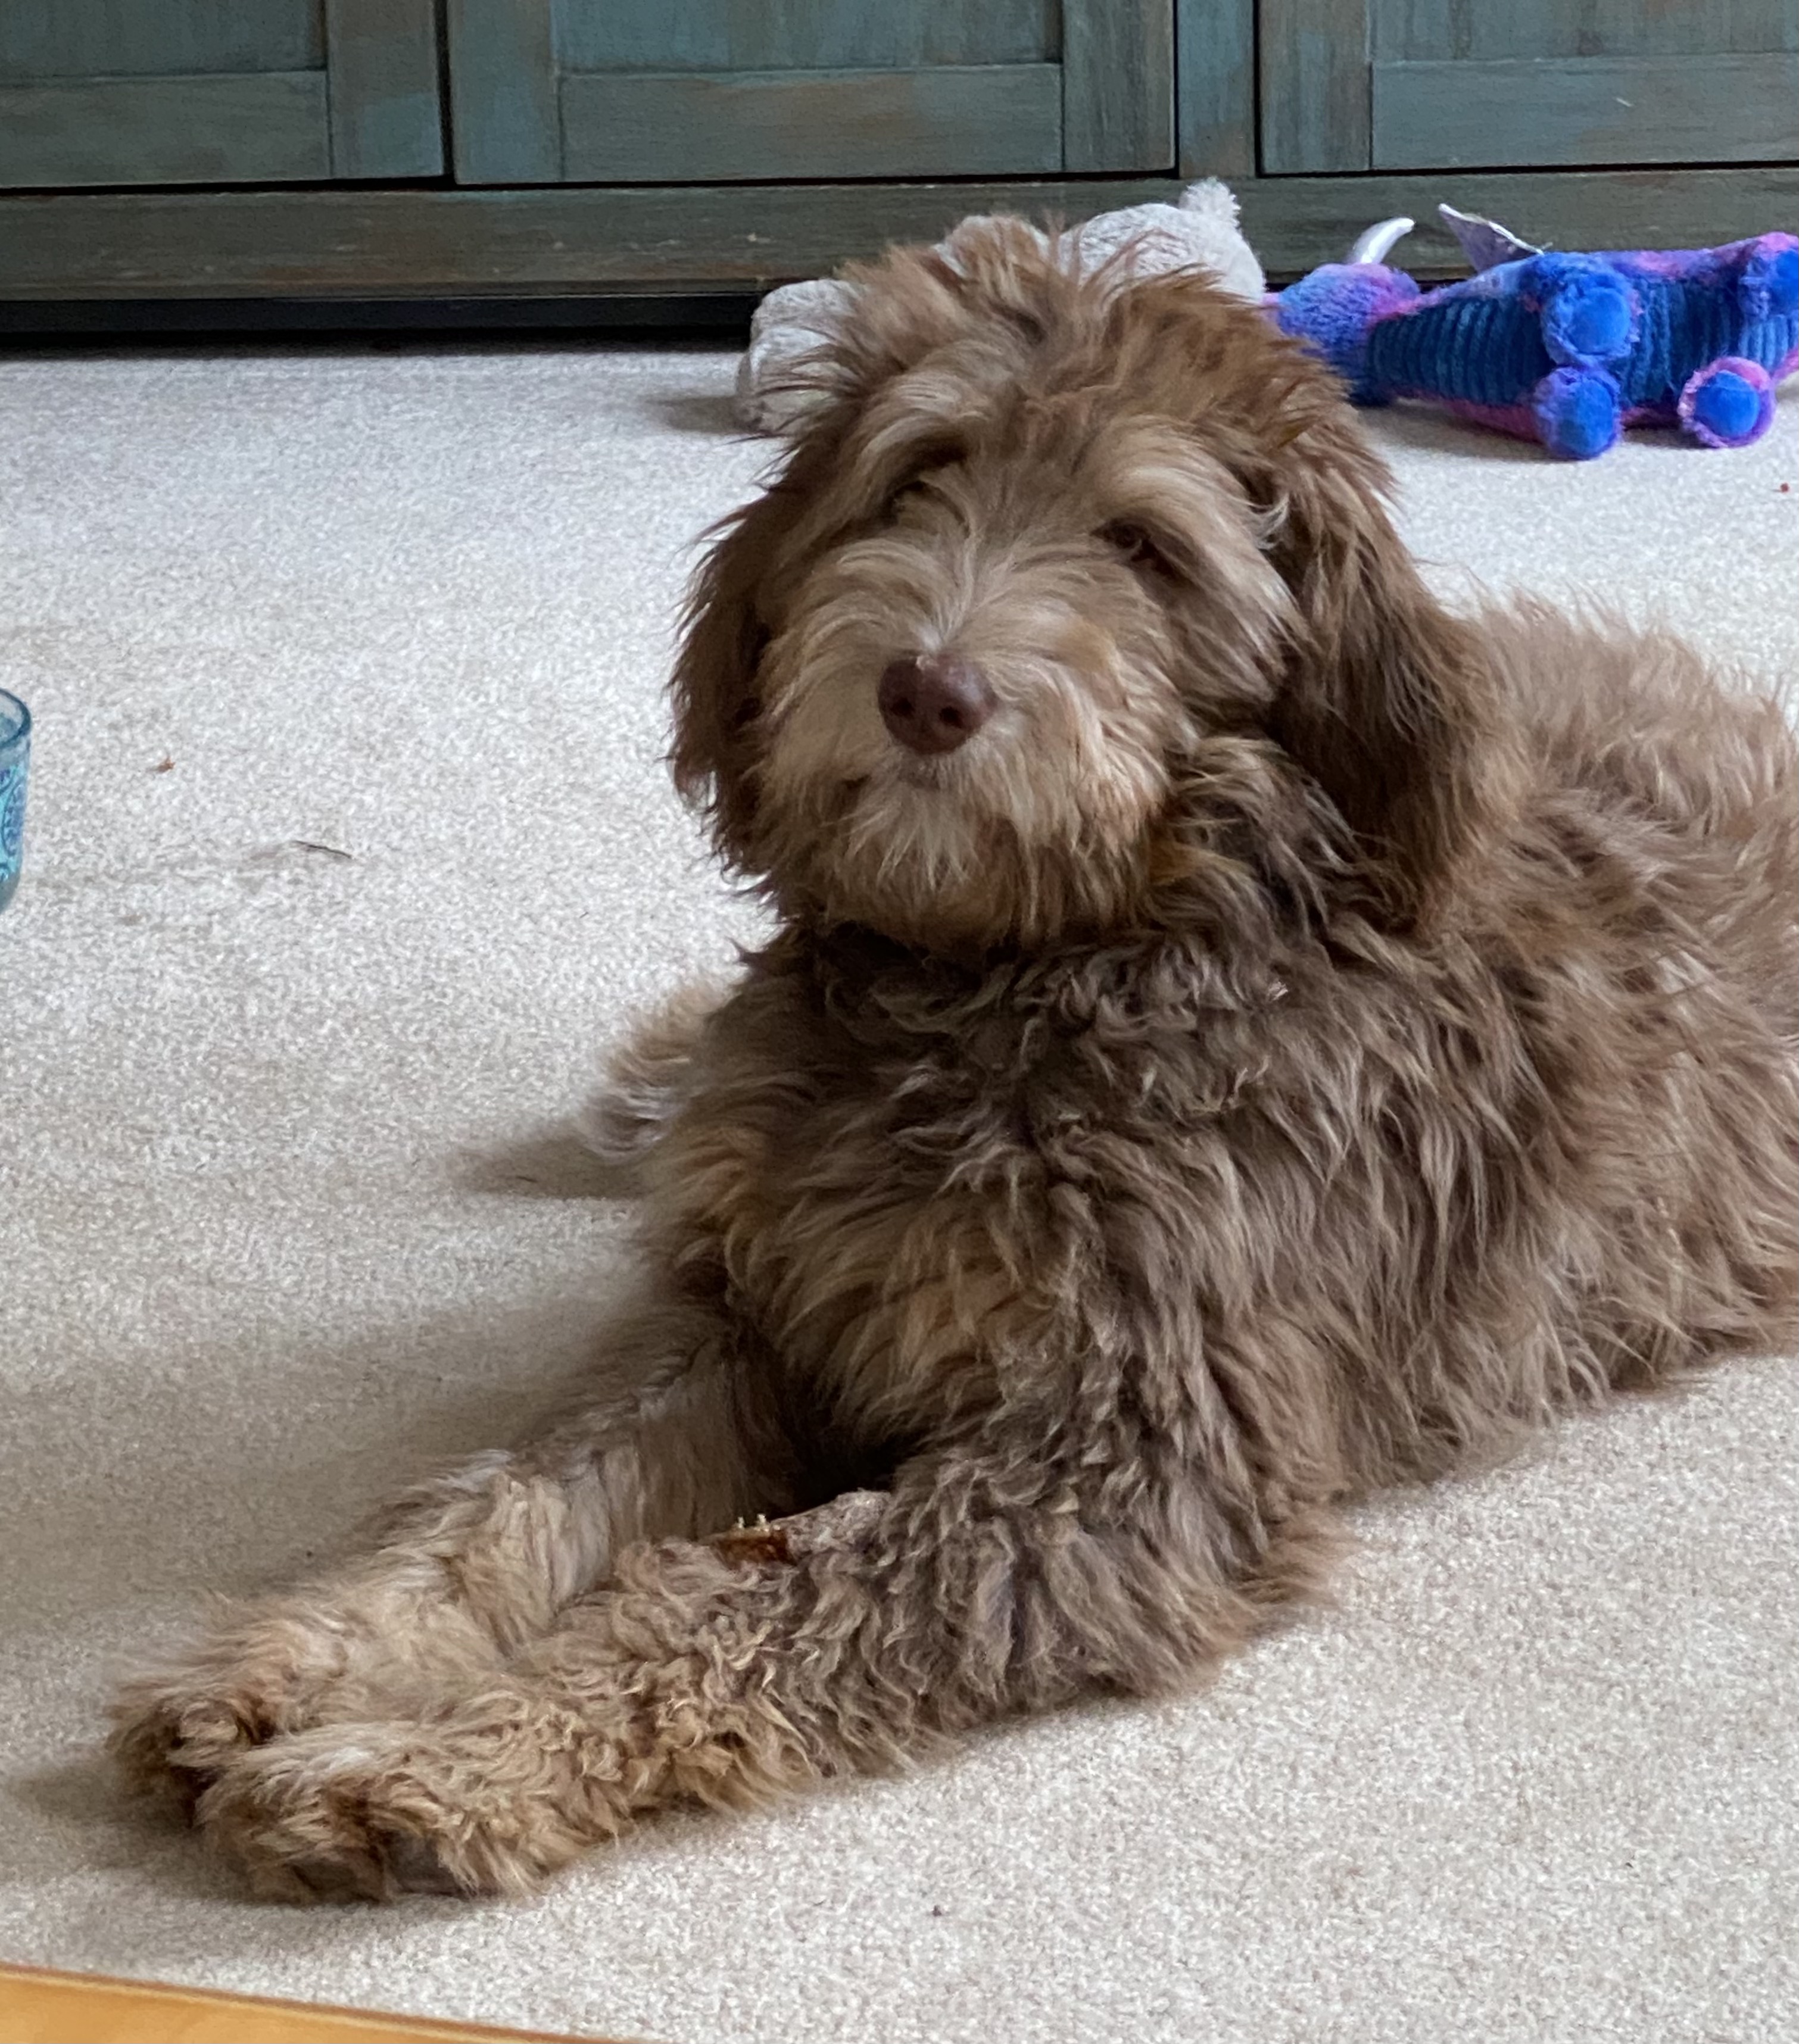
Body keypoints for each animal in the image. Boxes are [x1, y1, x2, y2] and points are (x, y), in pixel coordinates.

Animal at [112, 220, 1799, 1896]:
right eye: (920, 473)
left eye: (1143, 547)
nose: (926, 689)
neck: (1019, 979)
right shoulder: (753, 1311)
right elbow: (513, 1495)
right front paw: (301, 1660)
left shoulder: (1126, 1466)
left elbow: (736, 1594)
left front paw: (435, 1761)